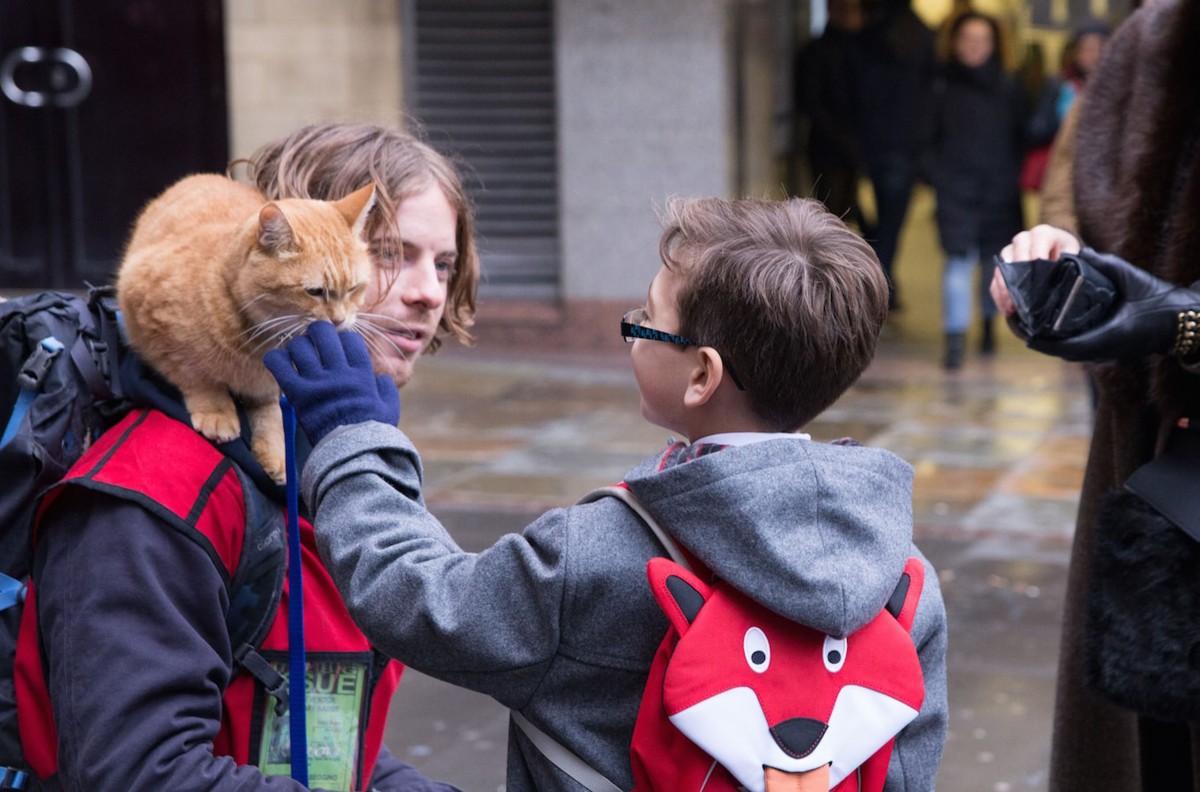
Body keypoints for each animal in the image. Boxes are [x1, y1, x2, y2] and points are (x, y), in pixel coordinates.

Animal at [120, 175, 374, 482]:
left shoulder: (269, 384)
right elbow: (196, 376)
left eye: (353, 289)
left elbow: (270, 412)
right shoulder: (154, 324)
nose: (339, 320)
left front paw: (276, 451)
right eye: (314, 291)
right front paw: (217, 411)